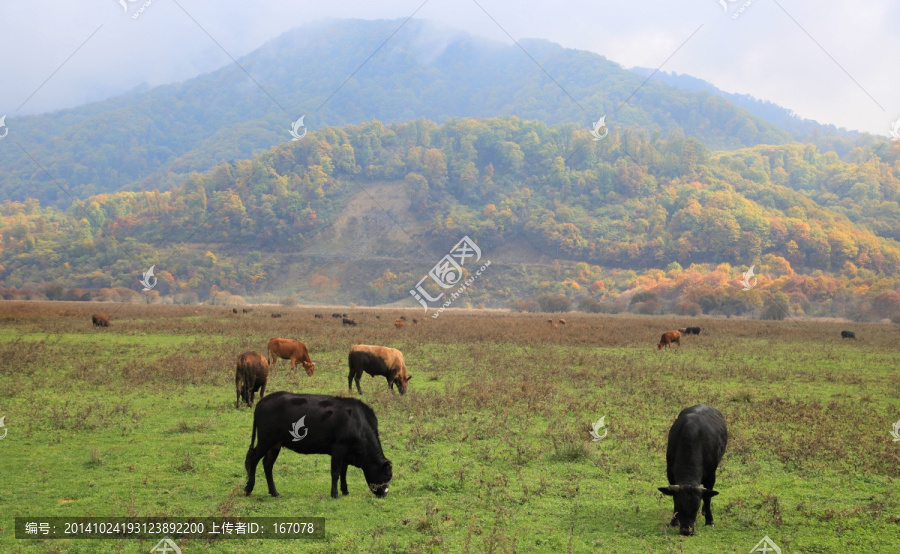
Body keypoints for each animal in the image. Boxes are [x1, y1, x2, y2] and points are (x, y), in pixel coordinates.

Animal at [244, 390, 392, 498]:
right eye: (387, 476)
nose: (384, 494)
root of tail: (263, 400)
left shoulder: (346, 451)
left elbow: (343, 471)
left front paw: (345, 491)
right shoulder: (339, 447)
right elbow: (336, 472)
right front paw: (335, 494)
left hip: (275, 443)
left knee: (267, 464)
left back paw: (274, 492)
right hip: (265, 439)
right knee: (253, 459)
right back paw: (248, 488)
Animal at [656, 402, 728, 536]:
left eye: (696, 507)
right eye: (679, 506)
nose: (686, 530)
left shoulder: (711, 475)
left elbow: (707, 498)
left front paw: (710, 520)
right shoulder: (670, 473)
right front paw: (674, 521)